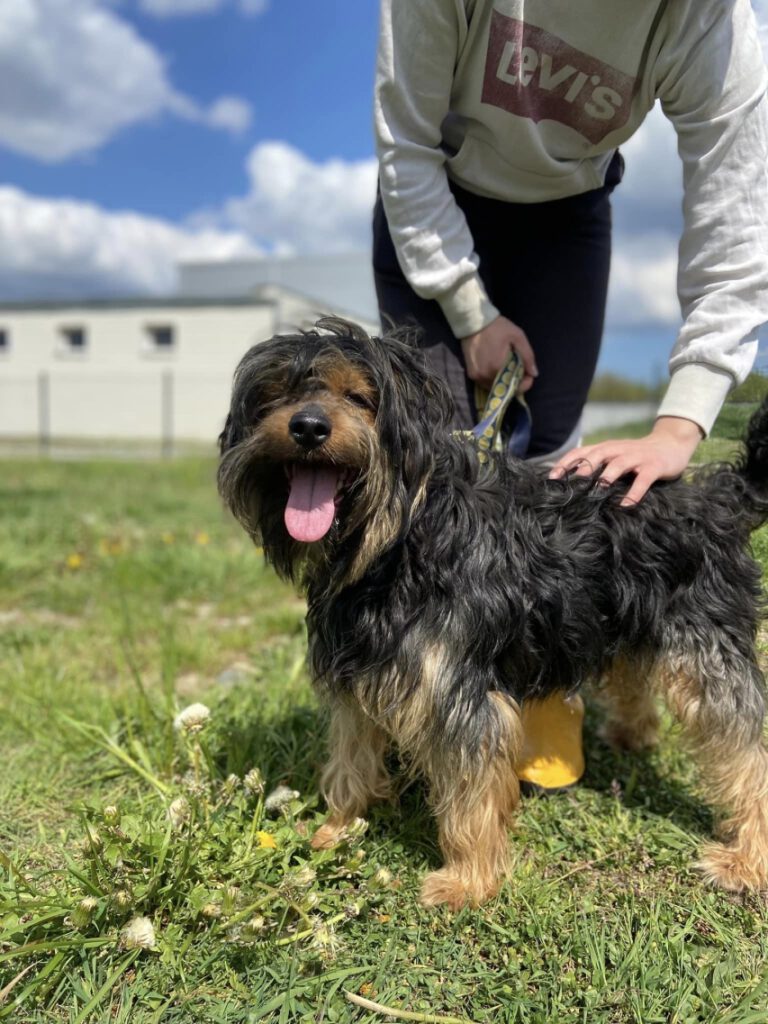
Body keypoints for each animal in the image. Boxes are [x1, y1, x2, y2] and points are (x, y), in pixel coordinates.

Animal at [217, 315, 768, 909]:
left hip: (706, 643)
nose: (308, 427)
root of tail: (719, 497)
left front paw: (467, 879)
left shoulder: (457, 690)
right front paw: (335, 830)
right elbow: (350, 757)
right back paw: (630, 735)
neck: (398, 542)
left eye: (360, 397)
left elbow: (469, 794)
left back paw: (745, 860)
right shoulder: (357, 670)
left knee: (745, 747)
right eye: (277, 394)